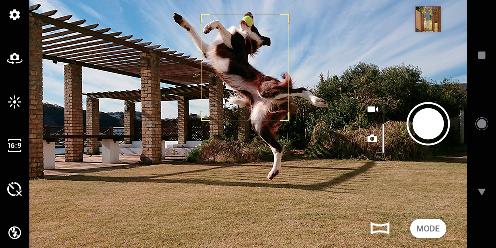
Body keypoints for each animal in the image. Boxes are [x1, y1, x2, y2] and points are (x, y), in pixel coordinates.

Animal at [172, 12, 328, 179]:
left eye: (254, 27)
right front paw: (180, 20)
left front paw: (209, 26)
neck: (246, 39)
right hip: (259, 123)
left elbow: (219, 23)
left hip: (267, 90)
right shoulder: (207, 50)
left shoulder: (233, 44)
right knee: (278, 148)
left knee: (301, 89)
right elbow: (191, 30)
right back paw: (274, 171)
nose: (249, 13)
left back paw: (316, 100)